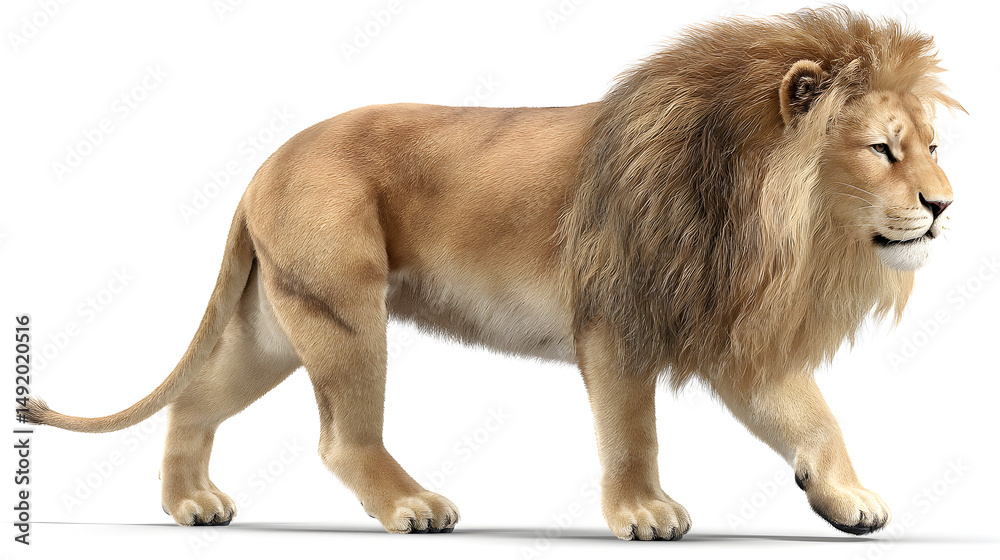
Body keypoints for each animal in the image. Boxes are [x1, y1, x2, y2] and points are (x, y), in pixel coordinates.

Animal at [24, 7, 961, 540]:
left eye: (932, 144)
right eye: (883, 150)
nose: (947, 205)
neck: (771, 223)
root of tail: (266, 162)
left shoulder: (726, 328)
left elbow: (814, 419)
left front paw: (845, 497)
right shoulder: (614, 323)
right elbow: (632, 432)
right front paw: (642, 513)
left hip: (279, 323)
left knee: (196, 400)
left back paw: (191, 504)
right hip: (344, 311)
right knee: (341, 438)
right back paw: (413, 509)